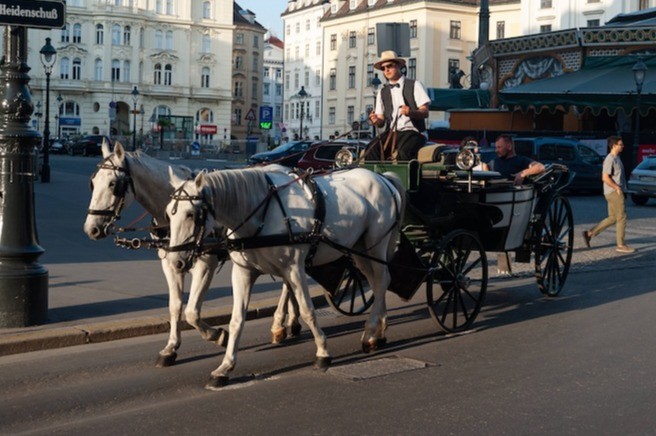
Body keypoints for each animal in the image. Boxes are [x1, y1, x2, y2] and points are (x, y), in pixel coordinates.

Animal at [81, 143, 300, 368]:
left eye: (113, 184)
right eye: (92, 183)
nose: (91, 229)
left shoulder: (205, 265)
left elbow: (192, 312)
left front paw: (218, 336)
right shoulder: (170, 263)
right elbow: (175, 305)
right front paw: (171, 348)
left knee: (287, 283)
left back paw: (279, 323)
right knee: (289, 283)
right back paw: (291, 321)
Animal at [167, 165, 402, 390]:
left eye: (191, 214)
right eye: (169, 213)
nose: (174, 261)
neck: (260, 215)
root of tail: (383, 178)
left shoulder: (294, 269)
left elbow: (308, 311)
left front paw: (323, 352)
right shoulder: (243, 272)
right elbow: (236, 321)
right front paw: (225, 366)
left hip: (375, 245)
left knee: (382, 280)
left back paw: (370, 333)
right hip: (358, 249)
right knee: (377, 282)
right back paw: (379, 331)